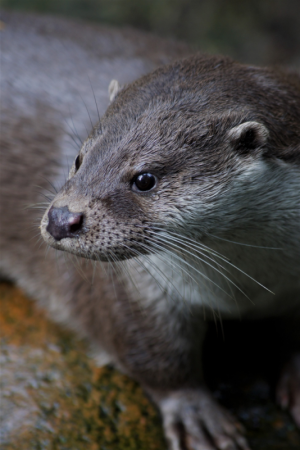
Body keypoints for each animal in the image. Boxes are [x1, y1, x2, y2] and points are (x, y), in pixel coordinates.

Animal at [1, 8, 298, 450]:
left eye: (144, 179)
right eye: (79, 158)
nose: (61, 218)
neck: (252, 286)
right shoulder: (138, 287)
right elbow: (155, 352)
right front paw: (195, 412)